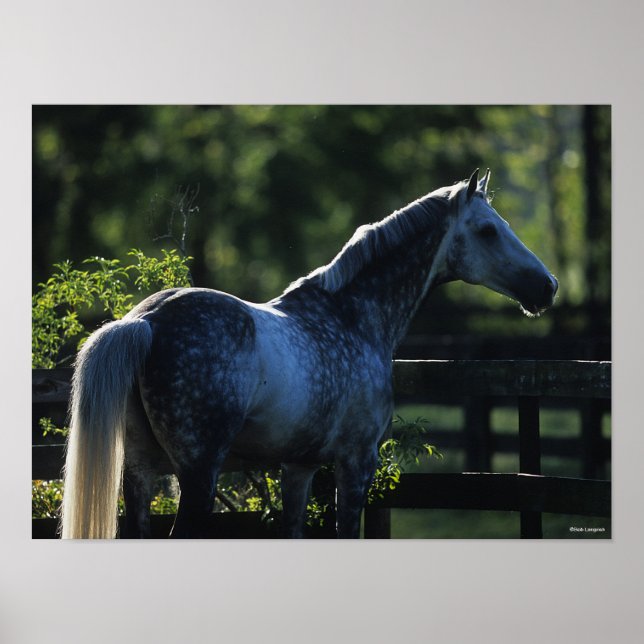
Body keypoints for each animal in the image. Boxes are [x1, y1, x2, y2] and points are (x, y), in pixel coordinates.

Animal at [60, 169, 558, 539]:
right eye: (488, 230)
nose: (548, 287)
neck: (351, 316)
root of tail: (146, 321)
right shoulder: (356, 463)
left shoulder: (298, 467)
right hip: (198, 474)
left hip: (140, 471)